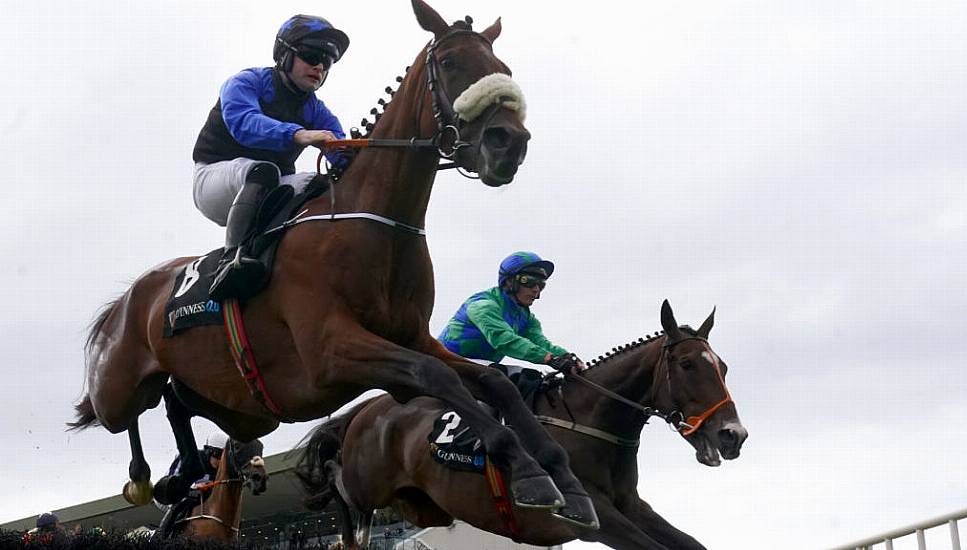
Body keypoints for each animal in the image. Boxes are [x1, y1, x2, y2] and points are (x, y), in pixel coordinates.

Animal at [68, 0, 600, 536]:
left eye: (503, 68)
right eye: (451, 63)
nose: (508, 142)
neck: (374, 226)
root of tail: (129, 298)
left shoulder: (411, 337)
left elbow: (493, 383)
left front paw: (567, 483)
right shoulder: (331, 351)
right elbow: (436, 376)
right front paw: (529, 472)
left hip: (248, 407)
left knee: (178, 397)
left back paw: (186, 471)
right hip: (119, 391)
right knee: (128, 411)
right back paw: (149, 477)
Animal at [294, 302, 748, 550]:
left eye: (723, 367)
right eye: (687, 364)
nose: (733, 436)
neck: (587, 422)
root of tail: (365, 408)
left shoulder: (632, 506)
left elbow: (690, 544)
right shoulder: (595, 517)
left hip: (422, 506)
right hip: (366, 482)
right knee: (342, 491)